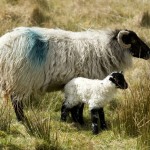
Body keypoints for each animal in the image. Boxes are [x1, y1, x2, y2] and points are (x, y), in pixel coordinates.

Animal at [0, 27, 149, 121]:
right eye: (134, 40)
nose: (149, 52)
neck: (104, 50)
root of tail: (4, 44)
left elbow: (76, 104)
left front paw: (75, 119)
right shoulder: (84, 81)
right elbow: (80, 105)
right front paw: (79, 120)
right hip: (19, 79)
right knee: (16, 102)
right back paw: (22, 120)